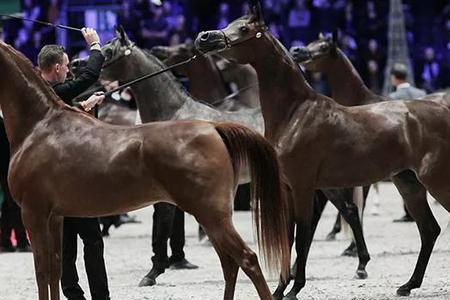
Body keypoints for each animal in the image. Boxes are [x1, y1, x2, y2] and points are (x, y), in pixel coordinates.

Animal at [0, 40, 290, 300]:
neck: (40, 125)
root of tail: (213, 128)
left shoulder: (34, 213)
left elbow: (42, 271)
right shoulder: (54, 217)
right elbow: (55, 269)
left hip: (213, 215)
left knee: (247, 259)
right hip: (212, 217)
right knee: (230, 264)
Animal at [195, 1, 450, 298]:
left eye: (244, 28)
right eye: (231, 23)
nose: (204, 38)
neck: (295, 113)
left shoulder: (304, 186)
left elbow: (303, 236)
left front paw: (295, 288)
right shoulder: (289, 188)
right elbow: (289, 237)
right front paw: (280, 289)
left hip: (437, 182)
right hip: (408, 184)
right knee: (429, 230)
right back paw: (408, 285)